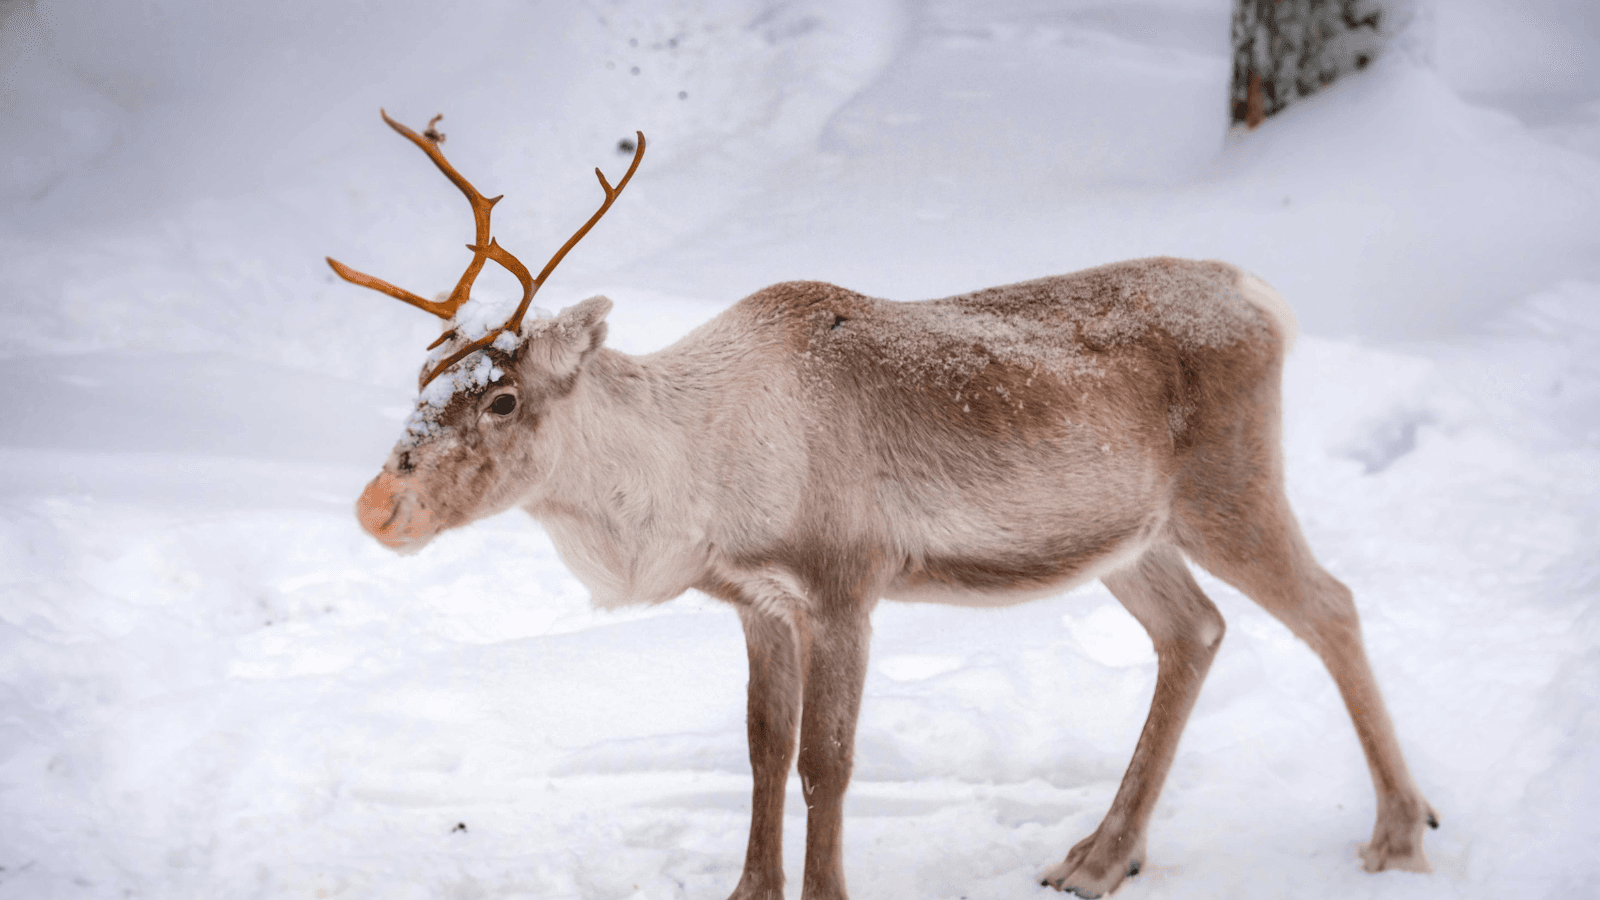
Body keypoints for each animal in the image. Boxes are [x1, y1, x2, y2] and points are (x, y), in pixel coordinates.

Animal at [329, 111, 1437, 899]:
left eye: (503, 398)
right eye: (422, 376)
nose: (378, 507)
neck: (689, 477)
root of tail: (1263, 298)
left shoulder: (843, 582)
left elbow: (826, 762)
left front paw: (824, 891)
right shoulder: (757, 601)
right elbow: (762, 751)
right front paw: (748, 891)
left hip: (1228, 487)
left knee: (1331, 604)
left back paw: (1400, 833)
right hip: (1131, 539)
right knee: (1195, 630)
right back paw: (1097, 857)